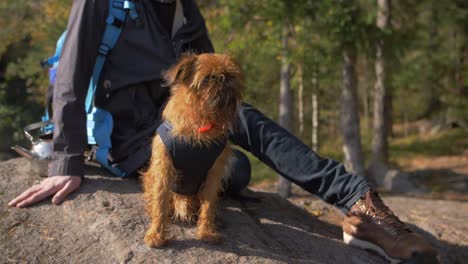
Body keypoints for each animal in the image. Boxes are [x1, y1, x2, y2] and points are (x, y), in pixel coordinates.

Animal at [143, 52, 245, 246]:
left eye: (231, 76)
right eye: (208, 78)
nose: (224, 80)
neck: (202, 121)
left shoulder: (214, 173)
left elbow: (209, 206)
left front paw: (206, 232)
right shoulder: (164, 168)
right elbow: (160, 202)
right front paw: (156, 234)